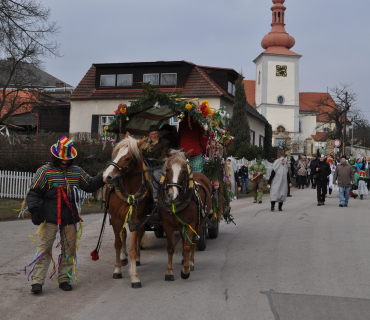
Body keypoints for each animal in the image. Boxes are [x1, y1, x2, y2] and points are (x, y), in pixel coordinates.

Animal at [102, 132, 152, 288]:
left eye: (128, 158)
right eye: (116, 152)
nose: (106, 176)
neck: (129, 190)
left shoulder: (136, 220)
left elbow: (133, 248)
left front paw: (135, 276)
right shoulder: (115, 219)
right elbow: (118, 244)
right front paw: (117, 269)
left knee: (138, 236)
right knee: (123, 235)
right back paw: (123, 258)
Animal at [158, 149, 212, 280]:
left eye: (183, 171)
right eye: (167, 169)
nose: (172, 195)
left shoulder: (191, 224)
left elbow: (188, 245)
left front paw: (185, 270)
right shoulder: (166, 224)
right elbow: (171, 247)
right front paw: (169, 271)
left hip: (200, 223)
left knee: (193, 242)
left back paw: (190, 263)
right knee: (183, 239)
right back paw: (184, 259)